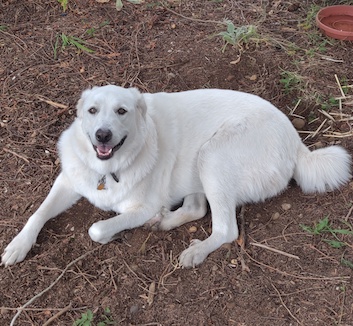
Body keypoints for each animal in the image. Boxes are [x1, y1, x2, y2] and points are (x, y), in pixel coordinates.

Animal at [1, 86, 350, 268]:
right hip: (196, 167)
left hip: (212, 155)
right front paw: (18, 245)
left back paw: (194, 249)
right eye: (92, 111)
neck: (109, 169)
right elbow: (37, 214)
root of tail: (297, 143)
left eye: (122, 111)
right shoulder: (68, 181)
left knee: (226, 229)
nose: (102, 135)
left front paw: (116, 231)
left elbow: (97, 229)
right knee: (197, 207)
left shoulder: (140, 206)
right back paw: (165, 222)